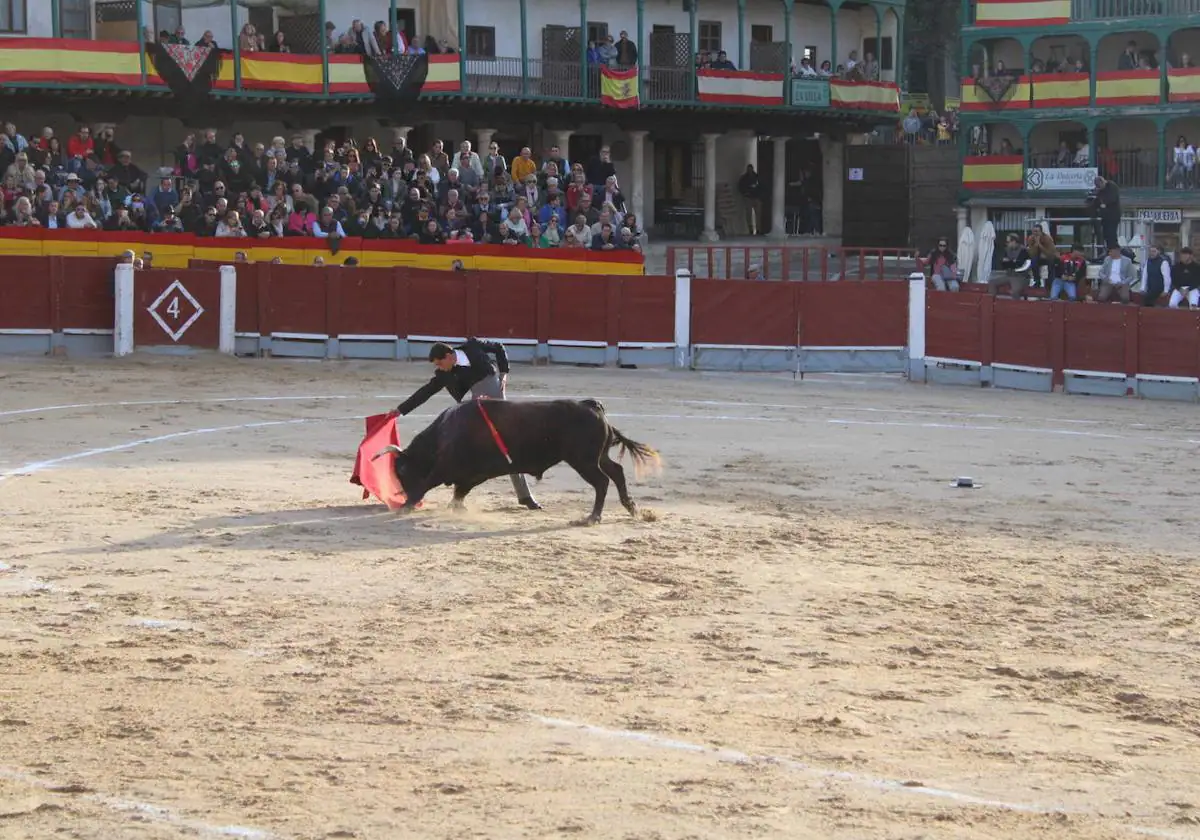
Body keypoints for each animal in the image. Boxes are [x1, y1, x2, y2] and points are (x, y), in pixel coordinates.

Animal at [372, 396, 662, 520]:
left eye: (402, 471)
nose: (399, 495)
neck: (446, 431)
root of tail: (591, 405)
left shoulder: (447, 468)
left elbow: (428, 483)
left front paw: (407, 505)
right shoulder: (475, 473)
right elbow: (460, 490)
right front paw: (456, 507)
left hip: (584, 460)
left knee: (602, 482)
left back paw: (593, 517)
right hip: (597, 457)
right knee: (617, 472)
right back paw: (632, 508)